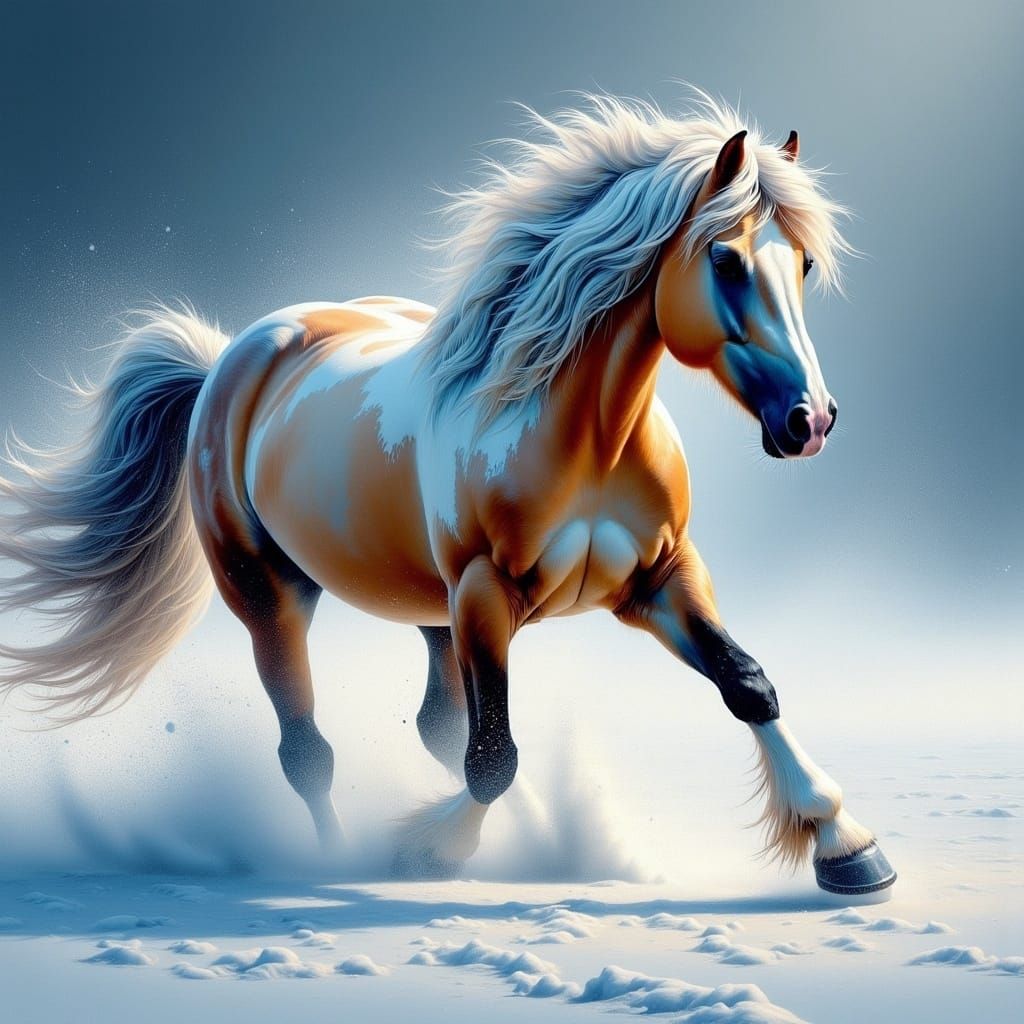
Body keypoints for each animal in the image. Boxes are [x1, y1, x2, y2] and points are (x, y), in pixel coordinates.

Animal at [0, 94, 894, 894]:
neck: (588, 441)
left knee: (439, 728)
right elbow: (492, 757)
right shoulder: (486, 595)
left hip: (431, 610)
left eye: (804, 265)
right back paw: (338, 860)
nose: (811, 420)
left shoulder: (662, 578)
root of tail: (232, 354)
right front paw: (425, 853)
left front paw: (847, 846)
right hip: (270, 594)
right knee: (311, 752)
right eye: (727, 260)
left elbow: (747, 684)